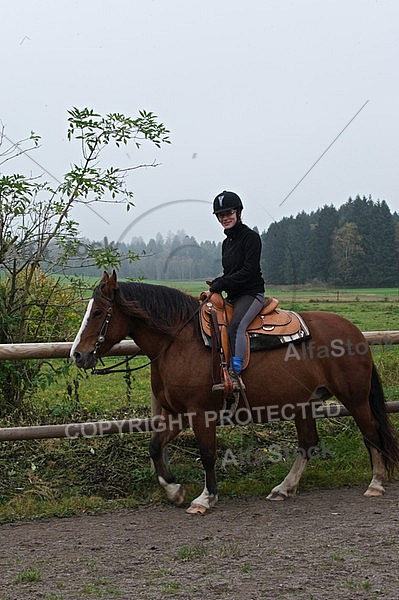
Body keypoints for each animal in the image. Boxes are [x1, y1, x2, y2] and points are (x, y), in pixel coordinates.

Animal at [70, 270, 398, 510]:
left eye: (98, 312)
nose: (77, 354)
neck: (178, 341)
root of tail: (354, 332)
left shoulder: (200, 413)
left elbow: (207, 453)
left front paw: (205, 498)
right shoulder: (176, 414)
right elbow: (154, 447)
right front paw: (174, 491)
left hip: (354, 398)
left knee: (370, 432)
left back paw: (376, 483)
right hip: (303, 403)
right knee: (308, 443)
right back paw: (284, 488)